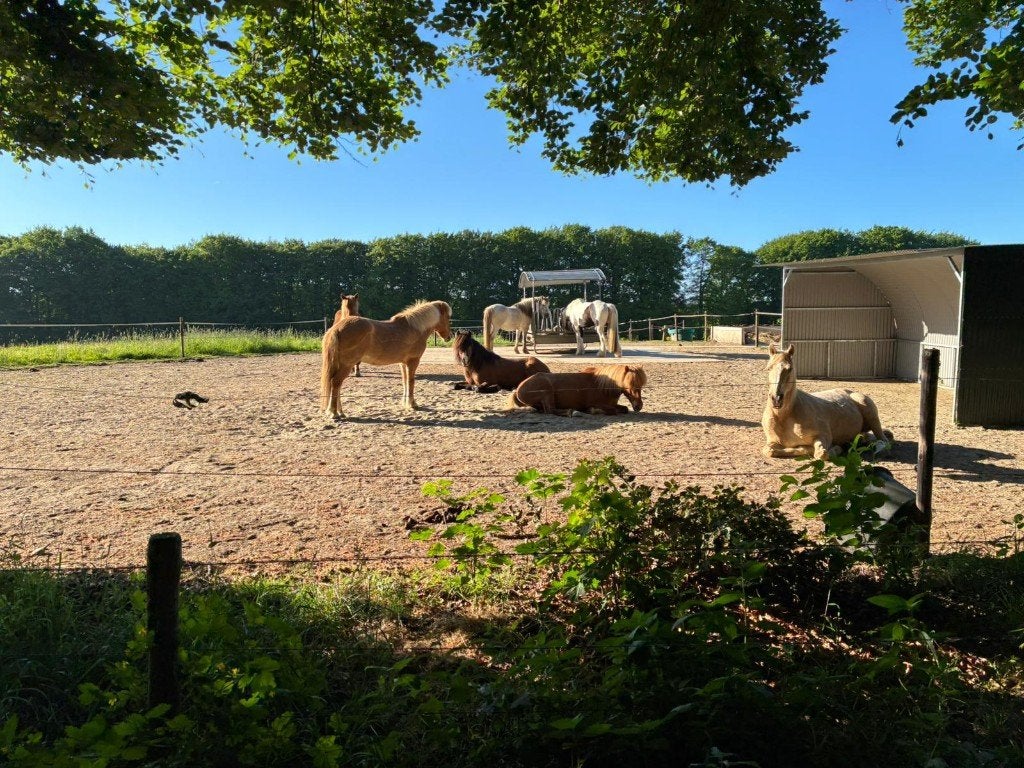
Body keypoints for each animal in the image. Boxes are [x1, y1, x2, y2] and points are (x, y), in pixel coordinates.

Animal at [320, 300, 452, 418]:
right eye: (447, 317)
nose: (449, 337)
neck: (415, 328)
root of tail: (336, 328)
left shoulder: (403, 364)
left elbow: (405, 381)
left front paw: (405, 403)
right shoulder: (413, 362)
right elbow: (411, 382)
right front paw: (412, 404)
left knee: (336, 385)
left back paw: (340, 412)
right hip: (347, 365)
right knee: (335, 382)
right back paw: (334, 413)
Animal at [508, 364, 646, 416]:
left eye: (640, 386)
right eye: (630, 385)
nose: (638, 406)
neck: (602, 387)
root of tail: (519, 388)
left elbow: (624, 409)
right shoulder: (599, 404)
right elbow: (612, 410)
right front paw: (592, 410)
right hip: (547, 393)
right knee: (550, 410)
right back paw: (570, 412)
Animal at [762, 343, 893, 459]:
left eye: (790, 369)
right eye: (768, 368)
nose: (776, 399)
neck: (785, 417)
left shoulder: (823, 435)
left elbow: (821, 453)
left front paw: (837, 448)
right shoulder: (772, 441)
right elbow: (769, 451)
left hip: (872, 415)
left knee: (884, 440)